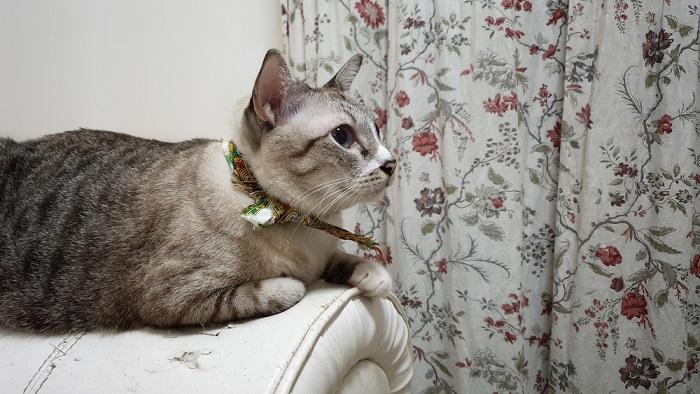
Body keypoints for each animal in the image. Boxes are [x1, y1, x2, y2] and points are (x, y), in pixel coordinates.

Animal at [0, 49, 394, 332]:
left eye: (377, 130)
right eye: (342, 136)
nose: (392, 163)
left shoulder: (325, 250)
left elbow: (347, 258)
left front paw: (374, 277)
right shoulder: (171, 297)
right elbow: (273, 290)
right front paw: (295, 283)